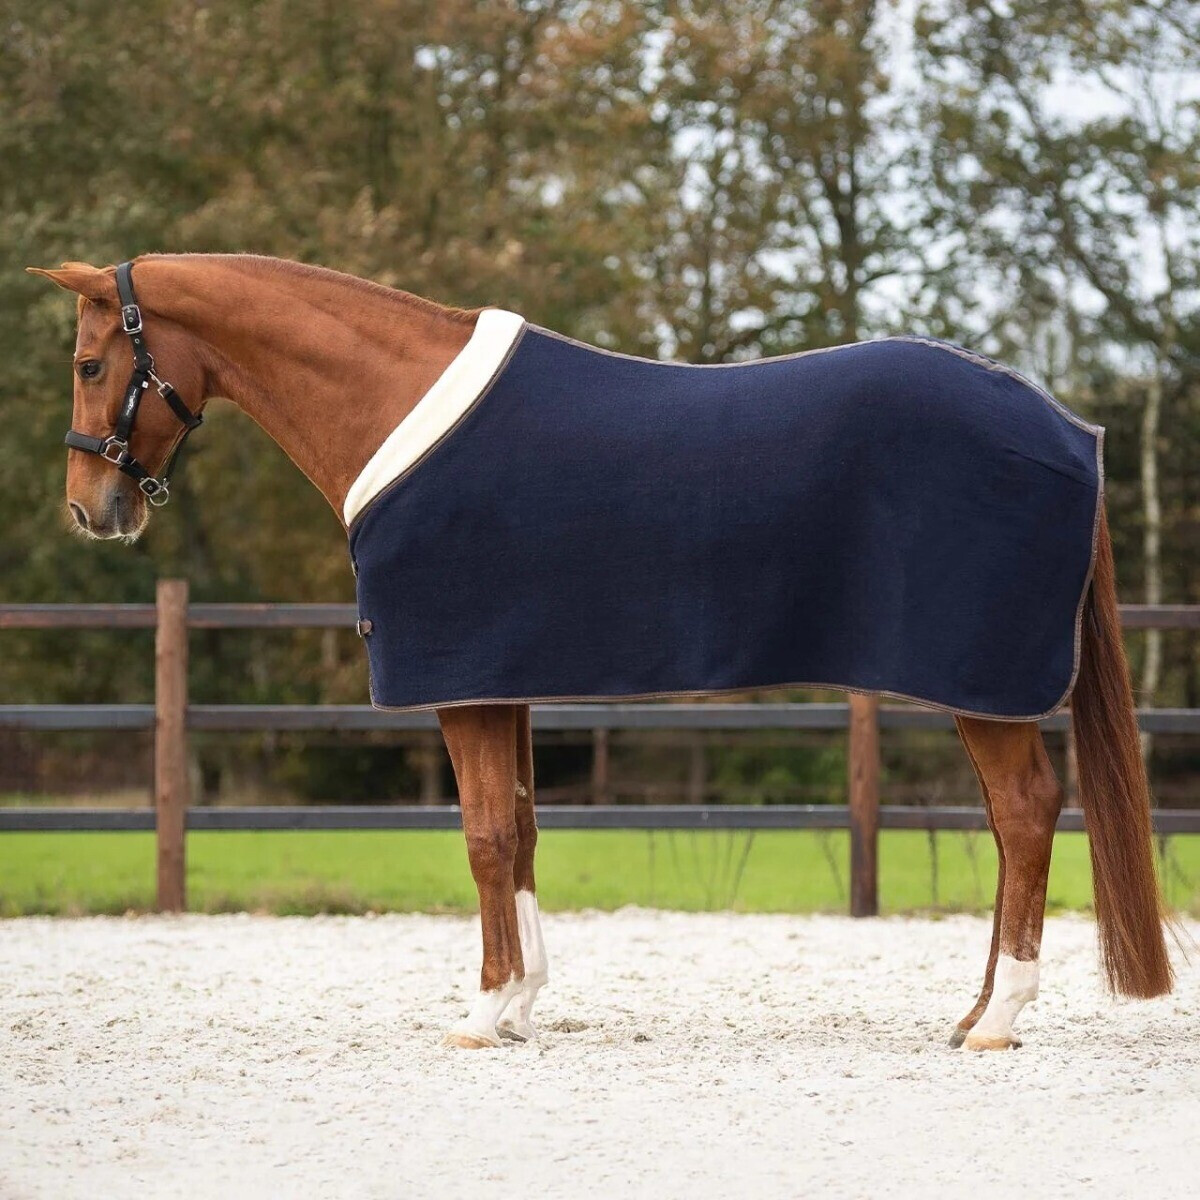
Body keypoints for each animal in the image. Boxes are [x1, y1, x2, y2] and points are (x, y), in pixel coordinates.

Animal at [28, 254, 1173, 1051]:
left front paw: (483, 1014)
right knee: (1011, 826)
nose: (89, 511)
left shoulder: (462, 685)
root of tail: (1070, 429)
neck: (398, 405)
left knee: (1024, 816)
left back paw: (998, 1020)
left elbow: (485, 836)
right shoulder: (503, 681)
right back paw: (975, 1010)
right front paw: (524, 1001)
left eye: (91, 365)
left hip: (984, 688)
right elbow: (523, 831)